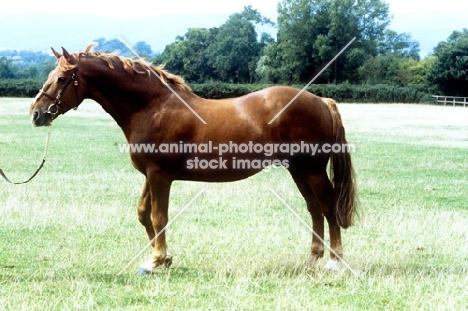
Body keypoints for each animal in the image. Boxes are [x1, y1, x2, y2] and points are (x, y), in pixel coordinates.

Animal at [29, 44, 356, 276]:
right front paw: (164, 258)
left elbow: (159, 216)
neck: (152, 107)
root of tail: (321, 100)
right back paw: (312, 259)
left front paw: (155, 261)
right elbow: (143, 213)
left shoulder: (160, 175)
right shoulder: (150, 175)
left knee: (328, 206)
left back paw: (334, 261)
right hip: (298, 169)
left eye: (61, 78)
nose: (36, 113)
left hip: (312, 169)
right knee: (314, 208)